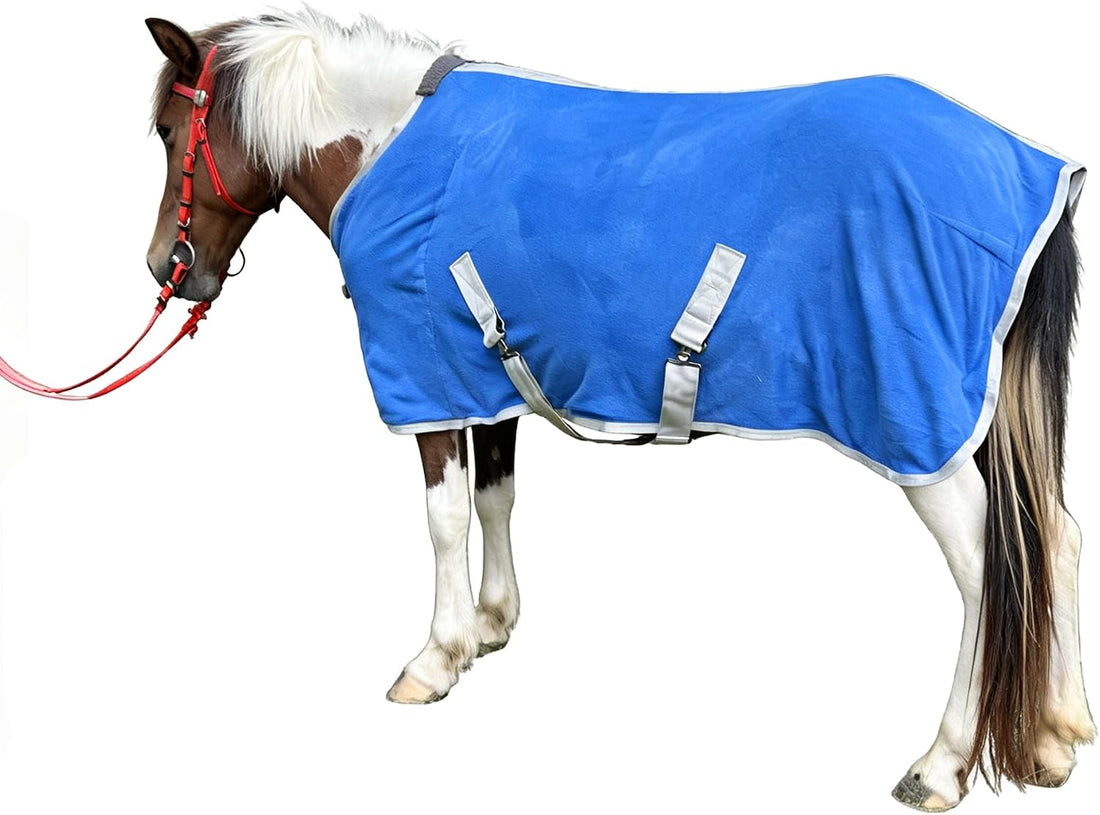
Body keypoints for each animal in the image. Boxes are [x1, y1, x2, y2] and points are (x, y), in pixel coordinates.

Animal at [142, 9, 1093, 810]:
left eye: (168, 132)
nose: (168, 268)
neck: (387, 142)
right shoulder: (484, 373)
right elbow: (497, 495)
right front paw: (492, 623)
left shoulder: (425, 376)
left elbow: (445, 517)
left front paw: (436, 657)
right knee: (1055, 539)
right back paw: (1054, 737)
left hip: (923, 433)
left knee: (987, 567)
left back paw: (941, 763)